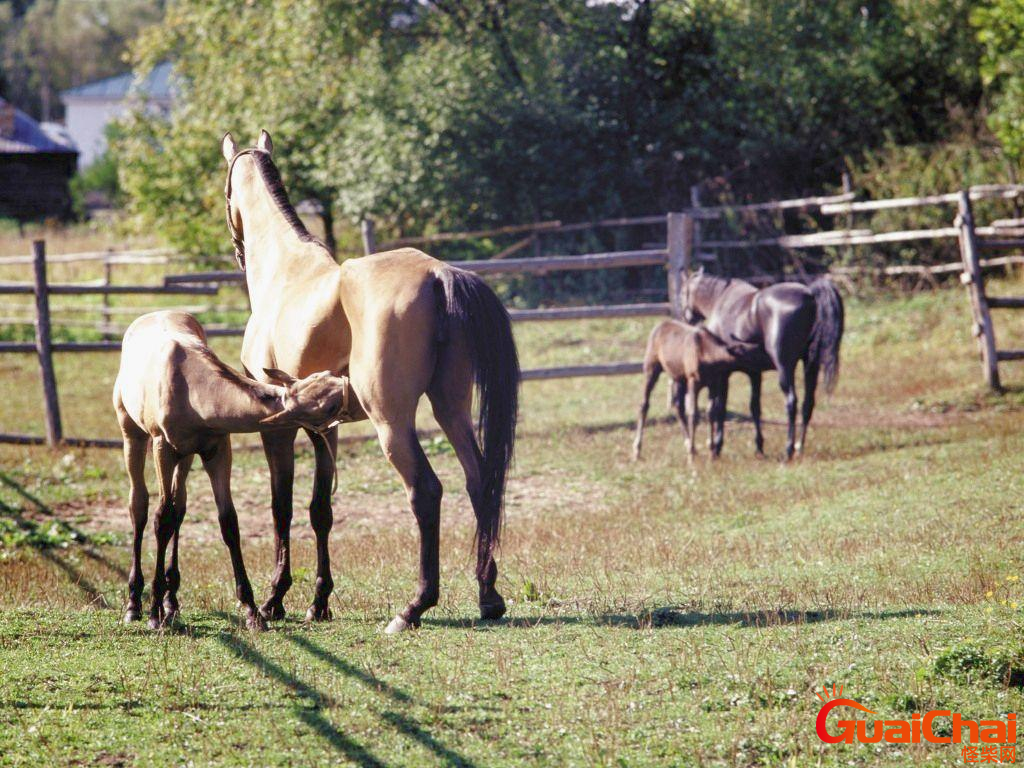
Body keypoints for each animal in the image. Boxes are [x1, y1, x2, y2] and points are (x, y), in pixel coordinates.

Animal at [220, 132, 516, 634]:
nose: (238, 249)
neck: (287, 273)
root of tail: (437, 273)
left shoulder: (278, 428)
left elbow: (283, 507)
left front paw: (274, 599)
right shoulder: (326, 428)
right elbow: (321, 510)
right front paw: (318, 601)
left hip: (391, 426)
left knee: (427, 492)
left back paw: (414, 607)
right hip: (450, 409)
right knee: (479, 482)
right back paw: (488, 596)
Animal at [684, 270, 843, 460]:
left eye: (684, 291)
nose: (688, 317)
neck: (721, 300)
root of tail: (810, 294)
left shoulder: (724, 374)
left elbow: (719, 408)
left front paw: (717, 447)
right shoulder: (755, 373)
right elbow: (755, 407)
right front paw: (759, 447)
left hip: (785, 368)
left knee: (792, 402)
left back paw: (788, 450)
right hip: (810, 366)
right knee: (807, 404)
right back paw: (799, 448)